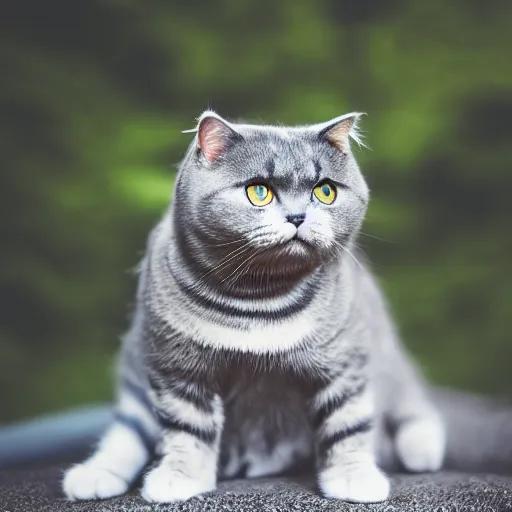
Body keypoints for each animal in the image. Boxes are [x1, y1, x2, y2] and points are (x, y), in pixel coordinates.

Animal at [61, 110, 444, 502]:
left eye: (325, 191)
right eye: (259, 191)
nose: (298, 217)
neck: (258, 301)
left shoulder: (343, 364)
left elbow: (347, 426)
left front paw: (355, 479)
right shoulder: (179, 371)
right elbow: (187, 430)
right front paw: (179, 479)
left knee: (407, 399)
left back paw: (421, 449)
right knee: (129, 431)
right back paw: (94, 475)